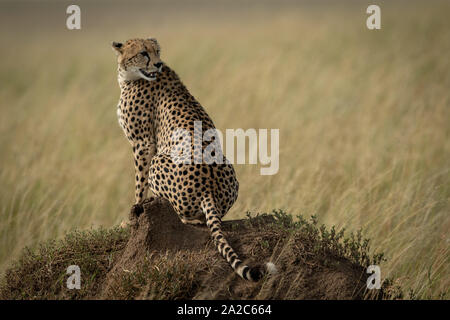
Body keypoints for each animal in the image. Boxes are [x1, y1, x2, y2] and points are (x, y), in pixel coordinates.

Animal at [110, 37, 276, 282]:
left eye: (156, 51)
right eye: (143, 53)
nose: (158, 64)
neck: (132, 76)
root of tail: (208, 189)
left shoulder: (143, 144)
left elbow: (139, 185)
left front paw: (132, 217)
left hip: (159, 159)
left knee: (187, 218)